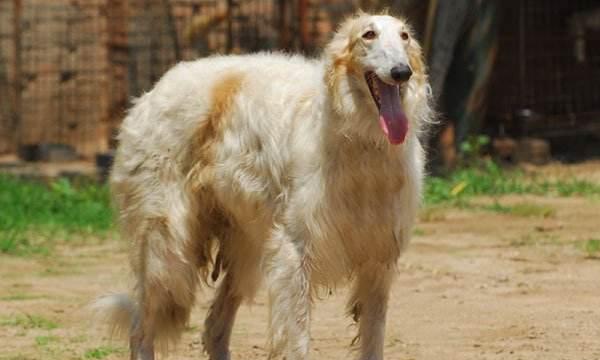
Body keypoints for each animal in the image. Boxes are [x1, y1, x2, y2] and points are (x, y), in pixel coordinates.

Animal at [92, 11, 432, 360]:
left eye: (405, 36)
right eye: (368, 34)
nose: (402, 72)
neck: (362, 141)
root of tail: (152, 91)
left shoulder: (379, 258)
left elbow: (373, 339)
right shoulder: (295, 252)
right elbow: (297, 341)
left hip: (245, 247)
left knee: (213, 327)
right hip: (167, 251)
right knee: (141, 327)